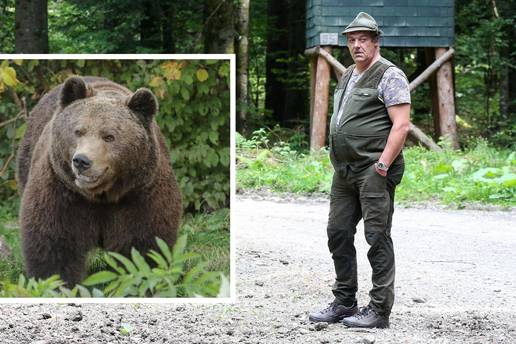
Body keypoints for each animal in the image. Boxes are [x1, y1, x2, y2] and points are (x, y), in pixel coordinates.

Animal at [16, 76, 183, 288]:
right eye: (78, 131)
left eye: (109, 136)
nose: (81, 161)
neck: (102, 195)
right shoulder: (62, 192)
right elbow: (54, 244)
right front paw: (55, 283)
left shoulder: (140, 194)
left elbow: (144, 245)